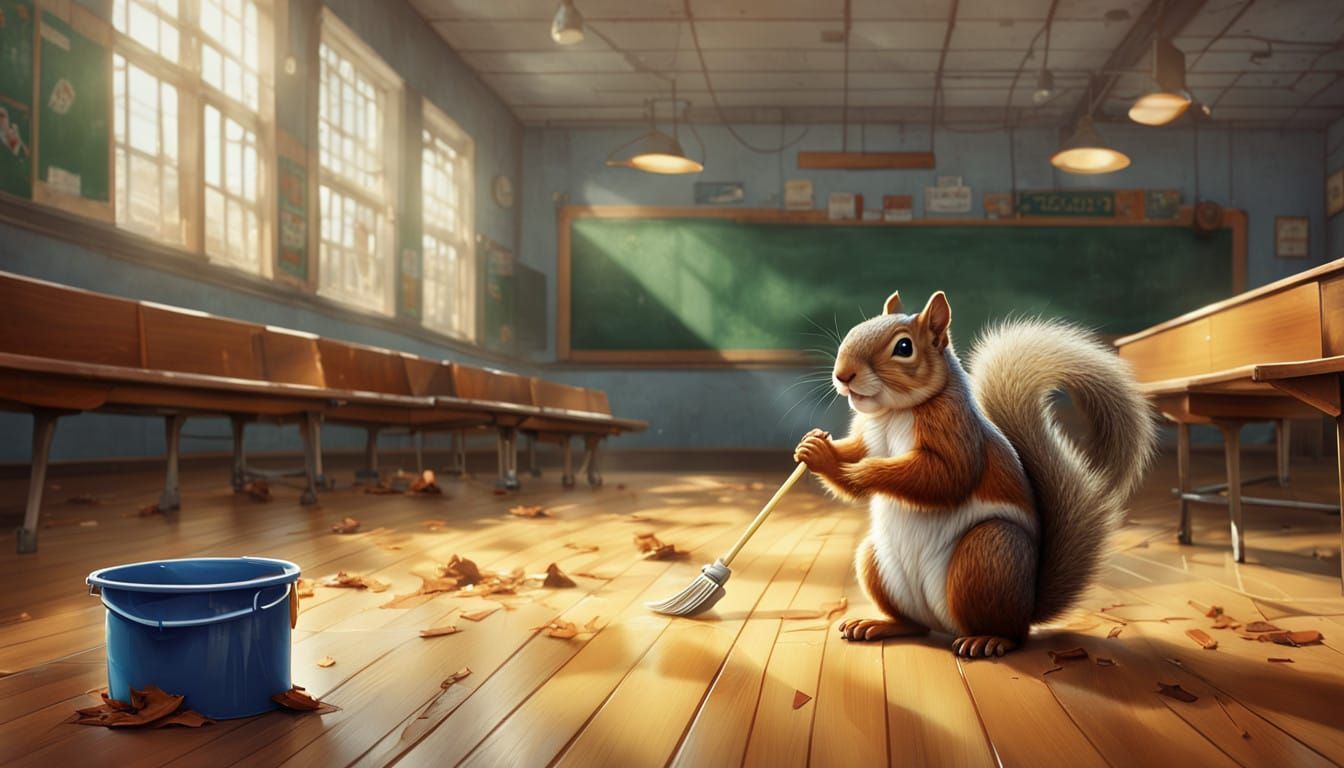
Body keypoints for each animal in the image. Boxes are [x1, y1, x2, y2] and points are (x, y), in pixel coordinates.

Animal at [793, 290, 1155, 658]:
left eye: (904, 347)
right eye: (858, 327)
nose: (843, 375)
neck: (892, 413)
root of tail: (1028, 606)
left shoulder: (955, 432)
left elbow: (944, 476)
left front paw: (858, 469)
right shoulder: (866, 437)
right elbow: (854, 454)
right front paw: (815, 448)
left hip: (987, 553)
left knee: (1013, 634)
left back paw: (989, 640)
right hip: (875, 560)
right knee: (914, 624)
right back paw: (879, 624)